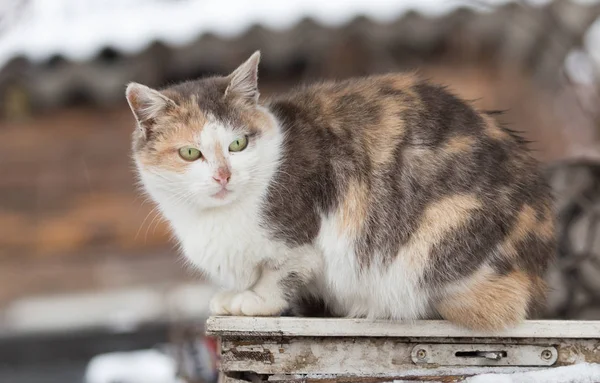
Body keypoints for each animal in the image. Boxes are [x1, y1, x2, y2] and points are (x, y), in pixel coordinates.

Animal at [127, 50, 556, 330]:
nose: (223, 175)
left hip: (435, 238)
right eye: (190, 152)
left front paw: (253, 300)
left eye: (238, 144)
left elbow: (278, 275)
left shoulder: (300, 241)